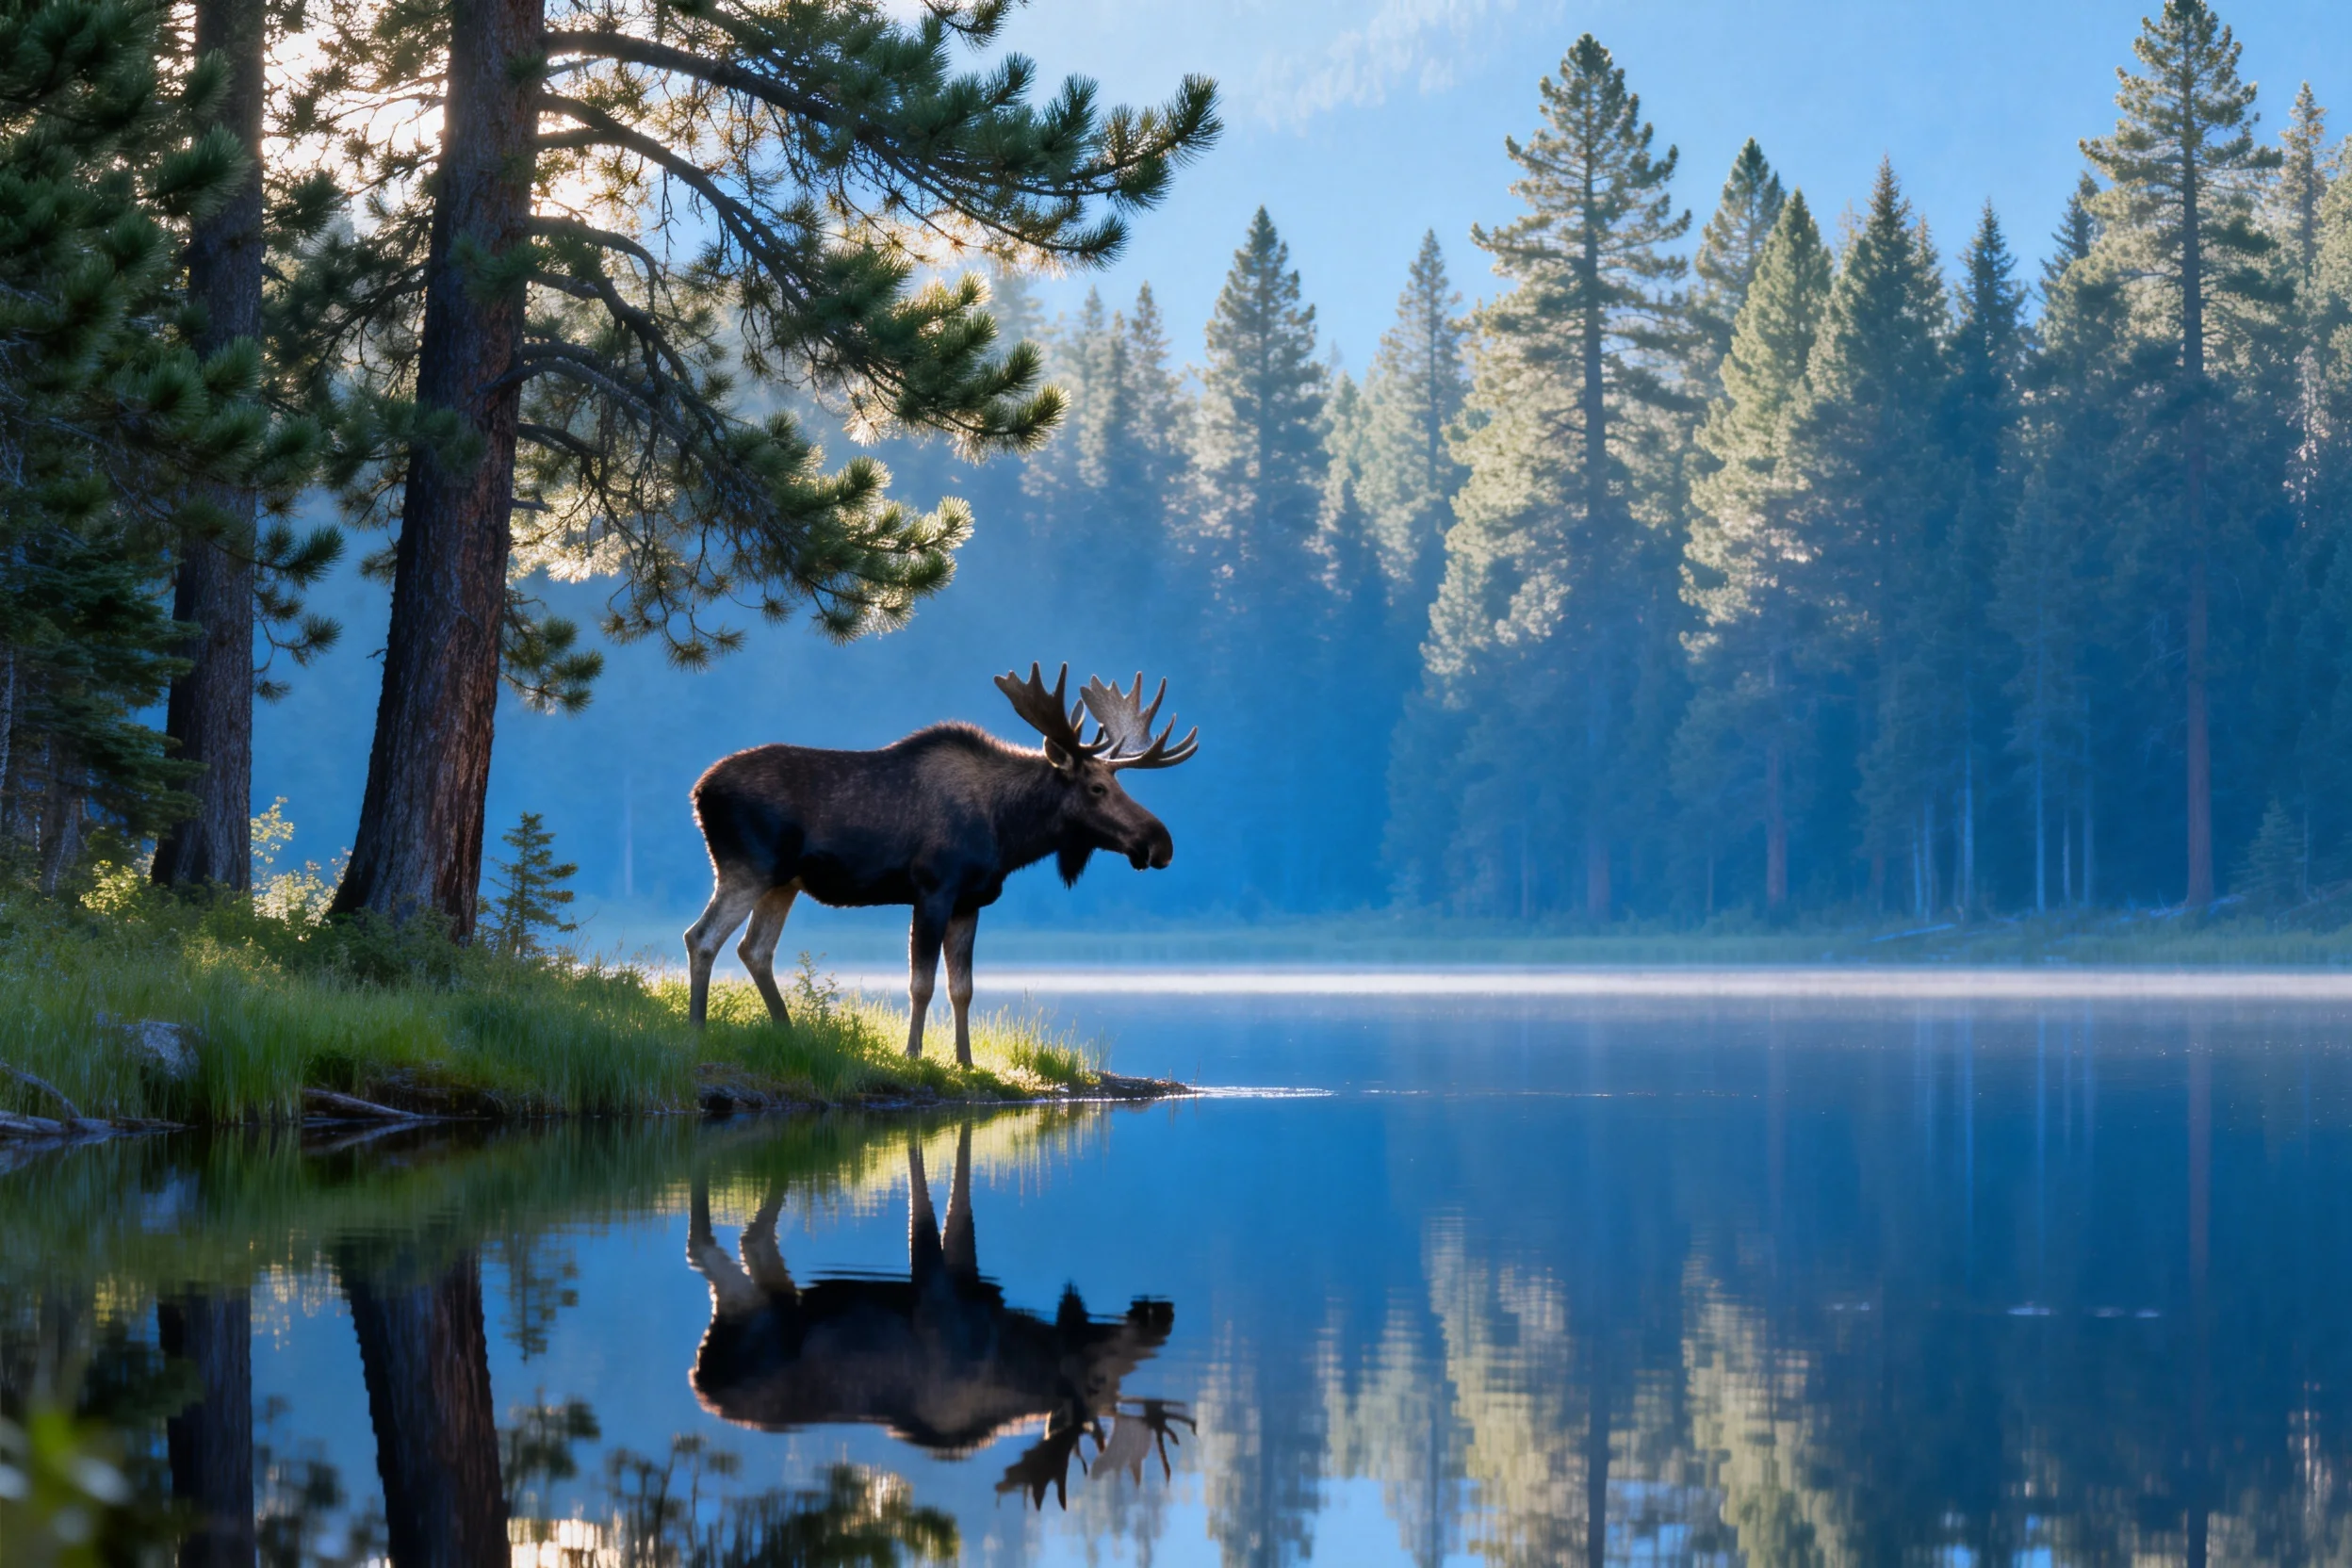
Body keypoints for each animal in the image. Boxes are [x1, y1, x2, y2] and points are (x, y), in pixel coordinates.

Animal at [684, 664, 1199, 1063]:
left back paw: (787, 1031)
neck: (1008, 832)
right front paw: (913, 1053)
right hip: (746, 868)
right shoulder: (933, 890)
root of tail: (699, 792)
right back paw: (697, 1030)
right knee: (702, 937)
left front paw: (965, 1060)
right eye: (1097, 788)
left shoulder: (971, 901)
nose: (1161, 843)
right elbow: (922, 983)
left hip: (783, 882)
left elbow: (962, 988)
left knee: (755, 950)